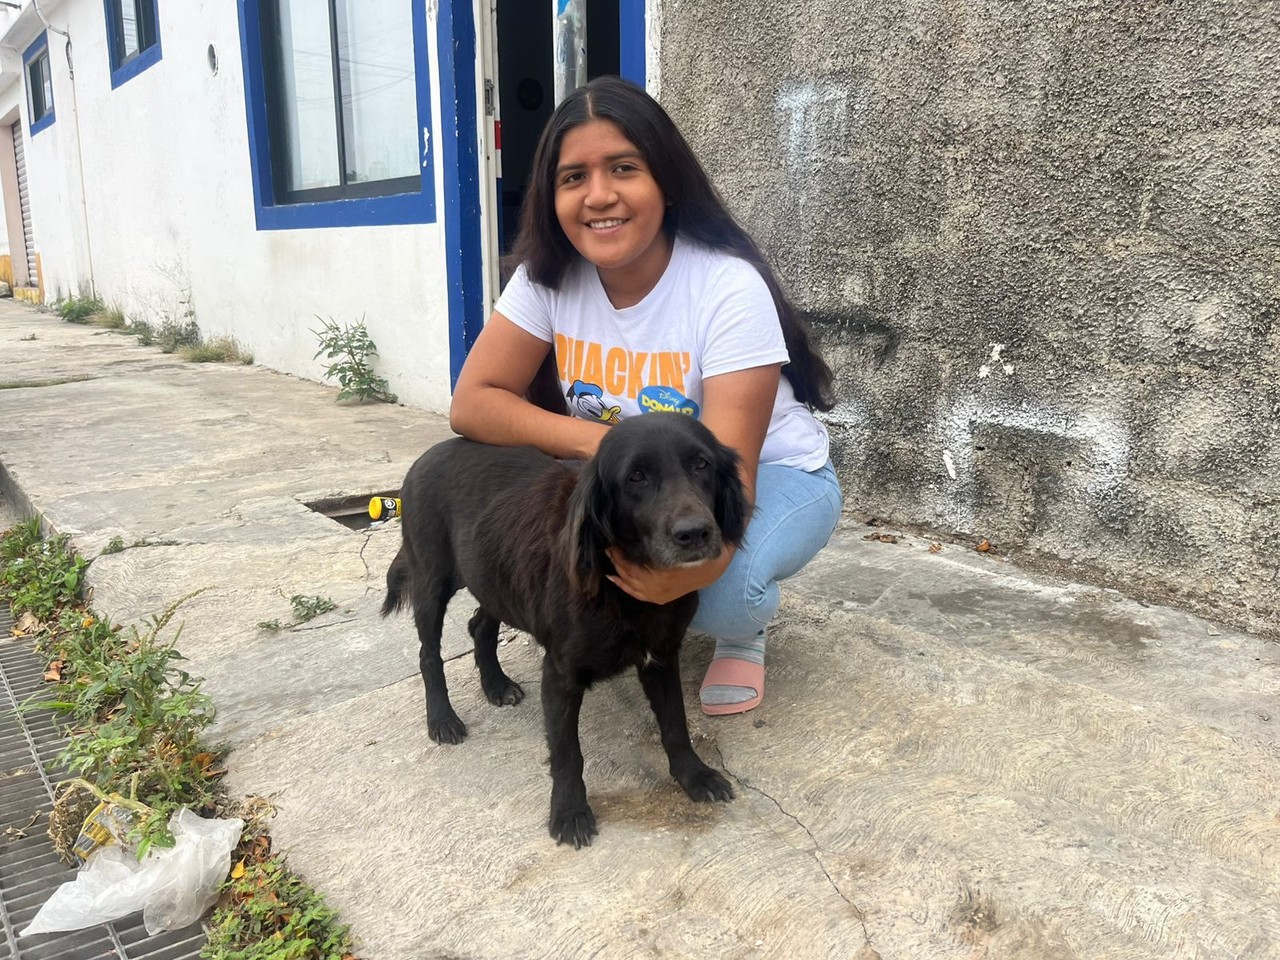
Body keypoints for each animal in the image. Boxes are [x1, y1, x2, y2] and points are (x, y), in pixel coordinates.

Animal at [378, 414, 747, 849]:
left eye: (702, 464)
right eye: (636, 476)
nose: (695, 533)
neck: (622, 588)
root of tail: (427, 455)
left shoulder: (660, 657)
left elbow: (676, 724)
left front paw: (694, 775)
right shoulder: (559, 676)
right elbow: (568, 753)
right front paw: (569, 811)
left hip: (494, 575)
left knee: (480, 626)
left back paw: (496, 685)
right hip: (433, 580)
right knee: (429, 653)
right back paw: (442, 719)